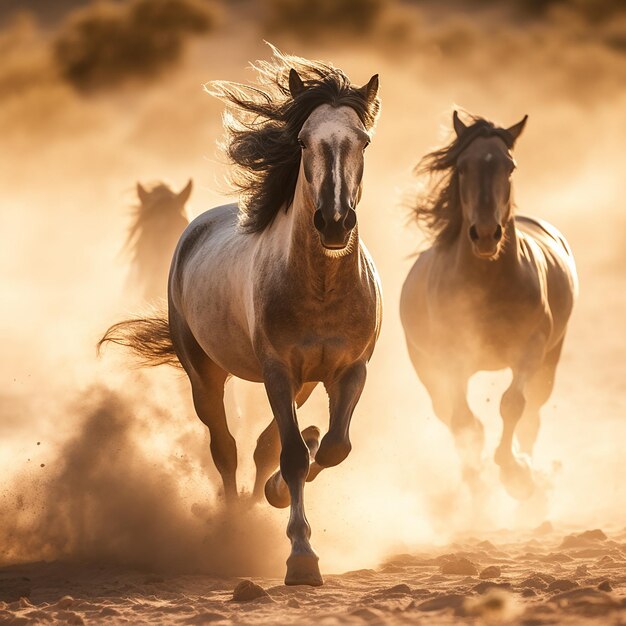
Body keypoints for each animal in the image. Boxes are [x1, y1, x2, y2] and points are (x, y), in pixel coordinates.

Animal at [99, 48, 380, 584]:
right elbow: (291, 456)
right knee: (225, 447)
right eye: (303, 140)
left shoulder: (348, 370)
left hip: (302, 383)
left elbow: (332, 447)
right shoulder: (277, 370)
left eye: (363, 140)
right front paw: (301, 557)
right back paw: (230, 528)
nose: (335, 224)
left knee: (262, 447)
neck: (321, 287)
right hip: (205, 373)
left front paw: (281, 491)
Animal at [400, 112, 576, 500]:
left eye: (509, 166)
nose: (484, 234)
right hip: (427, 370)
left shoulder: (531, 349)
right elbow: (465, 423)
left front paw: (515, 473)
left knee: (532, 415)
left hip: (550, 360)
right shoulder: (450, 360)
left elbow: (513, 405)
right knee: (452, 418)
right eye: (462, 167)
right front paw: (482, 479)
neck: (487, 284)